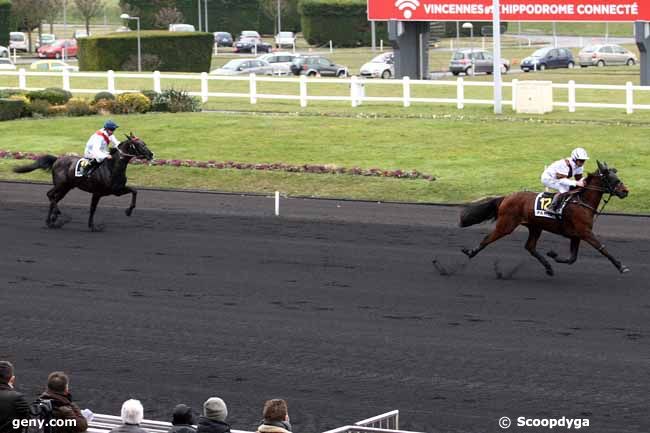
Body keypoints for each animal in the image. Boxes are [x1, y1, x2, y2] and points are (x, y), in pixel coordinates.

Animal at [13, 133, 153, 231]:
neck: (112, 167)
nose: (151, 154)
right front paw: (93, 226)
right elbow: (92, 209)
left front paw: (128, 211)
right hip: (60, 184)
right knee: (50, 195)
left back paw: (51, 221)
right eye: (140, 145)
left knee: (54, 199)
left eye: (144, 143)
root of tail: (57, 159)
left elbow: (134, 191)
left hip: (66, 188)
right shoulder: (98, 193)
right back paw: (59, 216)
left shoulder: (117, 190)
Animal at [456, 160, 628, 276]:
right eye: (612, 178)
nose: (625, 191)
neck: (581, 201)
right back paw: (470, 252)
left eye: (617, 176)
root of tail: (506, 197)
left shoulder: (576, 235)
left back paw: (548, 267)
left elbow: (572, 258)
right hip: (506, 225)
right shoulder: (585, 232)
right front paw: (621, 266)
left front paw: (553, 255)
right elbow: (602, 248)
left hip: (535, 227)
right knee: (488, 238)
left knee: (530, 247)